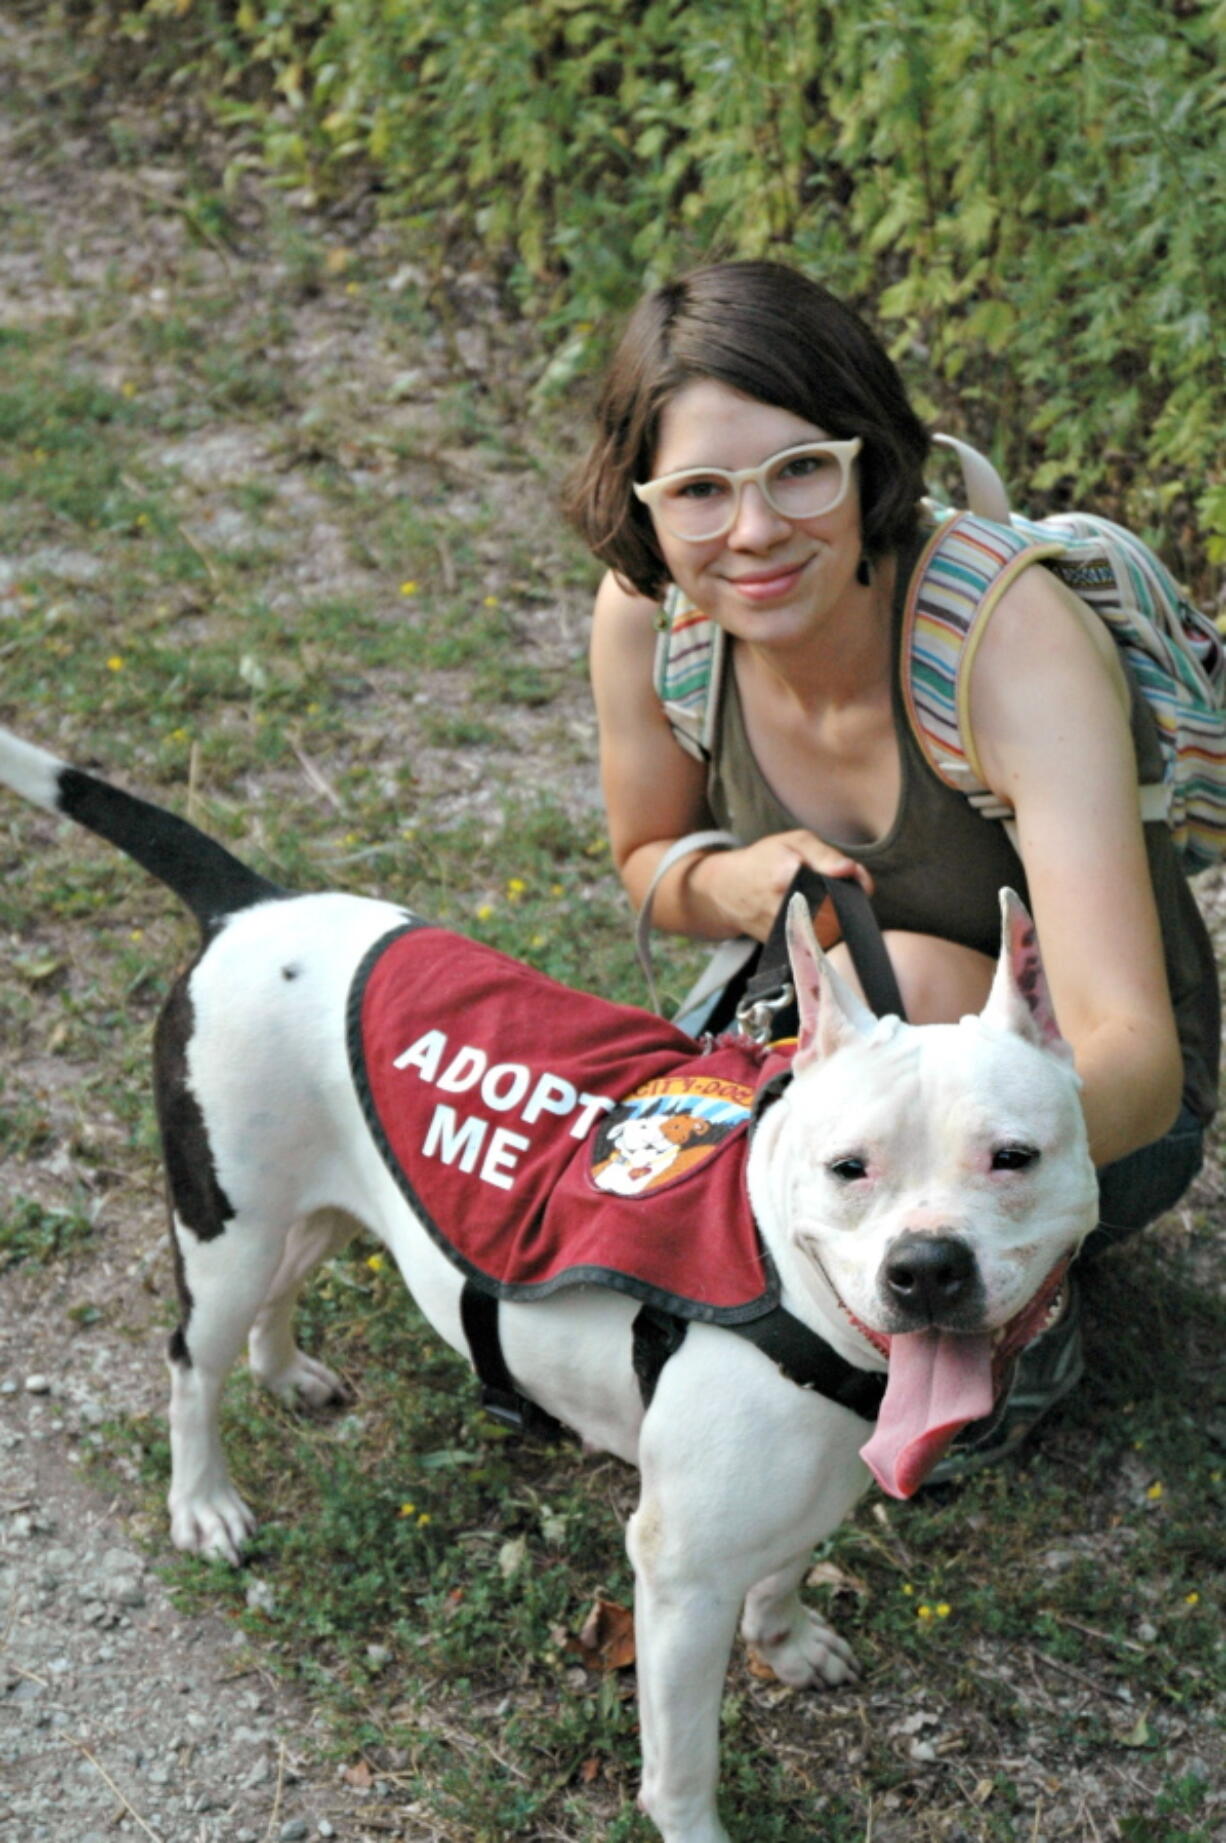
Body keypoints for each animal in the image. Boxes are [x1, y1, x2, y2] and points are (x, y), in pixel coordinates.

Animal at [0, 726, 1091, 1843]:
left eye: (1013, 1158)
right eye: (848, 1168)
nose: (925, 1267)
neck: (784, 1281)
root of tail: (251, 906)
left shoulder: (819, 1477)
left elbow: (785, 1567)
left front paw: (784, 1640)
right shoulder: (678, 1573)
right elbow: (682, 1764)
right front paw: (697, 1814)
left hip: (318, 1203)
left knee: (280, 1284)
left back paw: (284, 1369)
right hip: (226, 1226)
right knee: (190, 1363)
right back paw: (205, 1500)